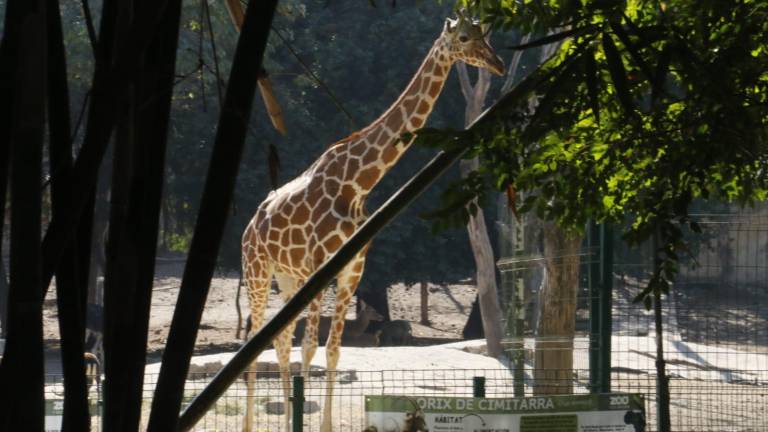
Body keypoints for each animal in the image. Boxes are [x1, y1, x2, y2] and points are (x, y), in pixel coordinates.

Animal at [240, 13, 504, 432]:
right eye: (464, 38)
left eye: (485, 35)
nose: (498, 65)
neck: (358, 184)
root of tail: (250, 225)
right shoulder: (320, 268)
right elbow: (311, 348)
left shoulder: (352, 270)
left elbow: (333, 350)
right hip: (257, 270)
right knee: (255, 337)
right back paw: (250, 423)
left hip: (287, 277)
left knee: (280, 342)